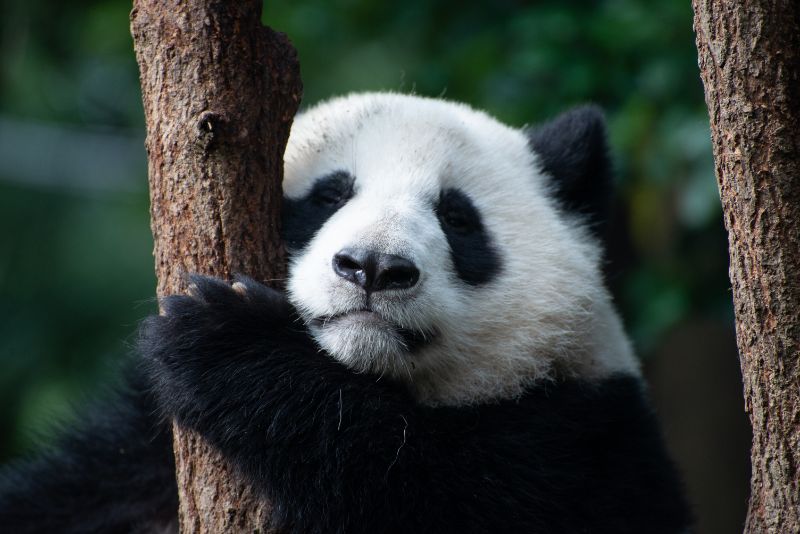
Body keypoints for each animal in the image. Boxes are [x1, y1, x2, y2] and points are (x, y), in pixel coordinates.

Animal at [0, 93, 688, 534]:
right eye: (329, 195)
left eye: (457, 218)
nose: (373, 267)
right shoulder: (133, 464)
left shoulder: (582, 447)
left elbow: (421, 485)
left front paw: (226, 345)